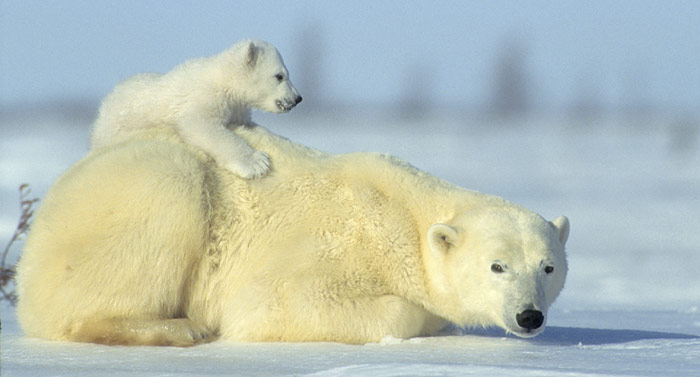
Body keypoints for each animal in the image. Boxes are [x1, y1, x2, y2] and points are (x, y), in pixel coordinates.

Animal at [16, 125, 568, 346]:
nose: (530, 316)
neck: (403, 214)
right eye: (497, 266)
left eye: (548, 266)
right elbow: (280, 303)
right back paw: (178, 329)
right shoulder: (342, 240)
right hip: (146, 192)